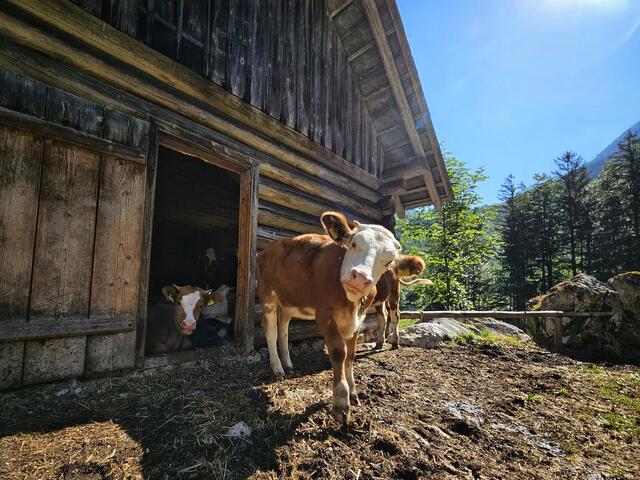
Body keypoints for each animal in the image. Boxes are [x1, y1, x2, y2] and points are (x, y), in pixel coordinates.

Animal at [257, 211, 402, 424]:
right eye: (354, 243)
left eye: (389, 260)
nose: (360, 278)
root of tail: (267, 248)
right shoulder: (324, 314)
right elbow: (339, 352)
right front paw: (341, 401)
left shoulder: (358, 318)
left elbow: (351, 355)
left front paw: (353, 392)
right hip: (268, 295)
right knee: (271, 331)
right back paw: (278, 368)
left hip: (288, 300)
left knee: (283, 328)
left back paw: (288, 363)